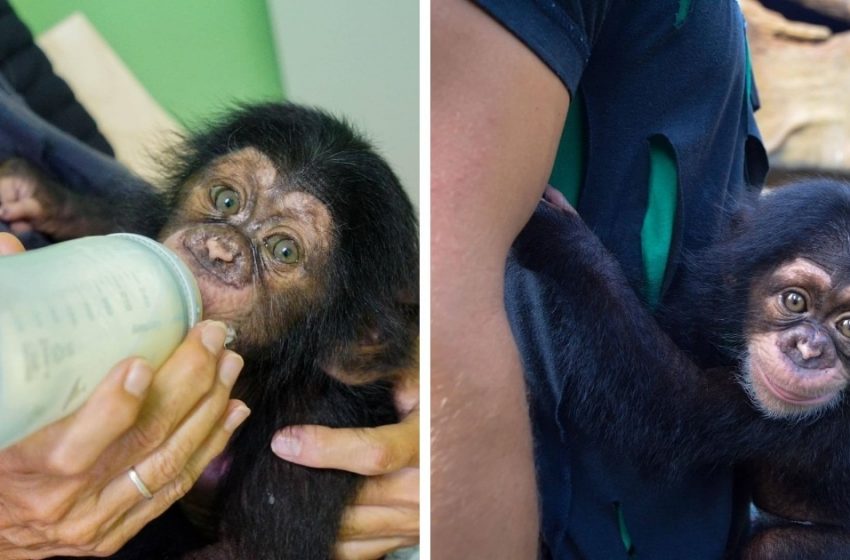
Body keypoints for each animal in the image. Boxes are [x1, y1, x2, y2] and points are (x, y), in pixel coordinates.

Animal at [0, 104, 418, 560]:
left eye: (284, 250)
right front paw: (38, 195)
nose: (220, 249)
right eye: (227, 199)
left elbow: (247, 551)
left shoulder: (319, 421)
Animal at [504, 182, 850, 556]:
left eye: (847, 325)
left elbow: (673, 401)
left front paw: (562, 238)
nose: (809, 349)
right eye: (795, 300)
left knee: (776, 546)